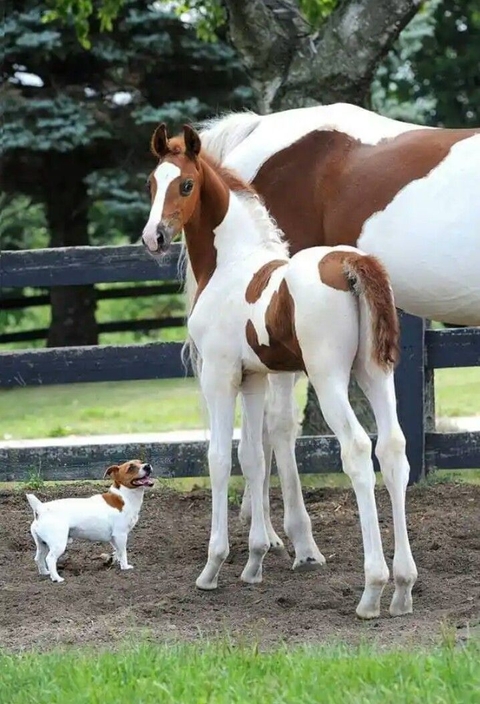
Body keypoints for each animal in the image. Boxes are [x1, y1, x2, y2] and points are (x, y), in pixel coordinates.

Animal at [141, 123, 418, 620]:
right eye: (152, 183)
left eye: (186, 184)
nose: (153, 237)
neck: (232, 265)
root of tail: (351, 263)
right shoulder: (252, 378)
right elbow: (253, 456)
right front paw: (254, 562)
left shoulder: (220, 376)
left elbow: (218, 457)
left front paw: (213, 567)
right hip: (374, 374)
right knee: (392, 451)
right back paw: (403, 588)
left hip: (329, 379)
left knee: (356, 451)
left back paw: (372, 590)